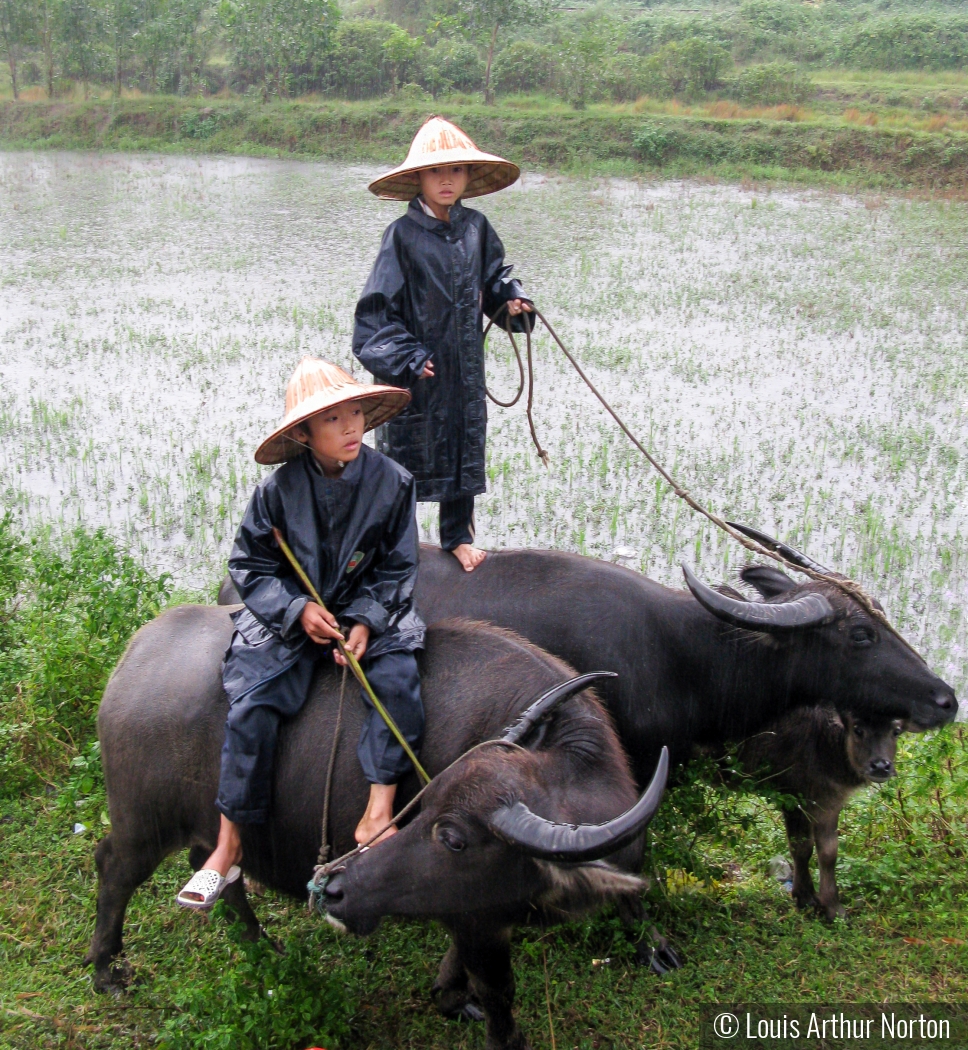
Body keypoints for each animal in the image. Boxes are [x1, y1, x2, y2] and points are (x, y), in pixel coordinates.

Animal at [88, 609, 663, 1050]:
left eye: (447, 832)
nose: (336, 888)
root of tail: (131, 661)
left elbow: (458, 965)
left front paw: (449, 998)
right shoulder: (481, 919)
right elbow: (498, 991)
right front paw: (497, 1029)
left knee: (218, 870)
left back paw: (261, 945)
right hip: (142, 826)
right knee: (113, 869)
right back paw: (106, 970)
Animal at [726, 705, 902, 919]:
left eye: (896, 730)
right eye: (858, 729)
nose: (881, 766)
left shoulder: (828, 801)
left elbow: (828, 852)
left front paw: (829, 906)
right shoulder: (793, 797)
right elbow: (802, 848)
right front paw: (808, 898)